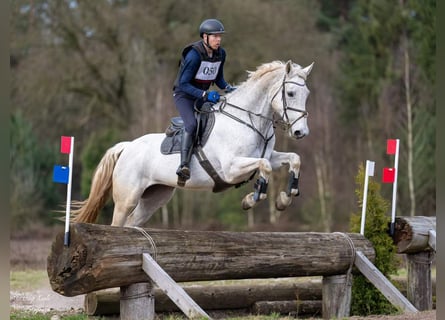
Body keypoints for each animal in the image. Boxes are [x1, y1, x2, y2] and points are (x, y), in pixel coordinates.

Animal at [73, 60, 314, 228]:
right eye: (291, 93)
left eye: (307, 94)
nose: (301, 132)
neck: (250, 120)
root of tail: (127, 147)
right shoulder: (231, 168)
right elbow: (265, 166)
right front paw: (251, 199)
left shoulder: (269, 156)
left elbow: (294, 159)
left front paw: (284, 198)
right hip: (127, 199)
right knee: (118, 224)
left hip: (154, 197)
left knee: (133, 223)